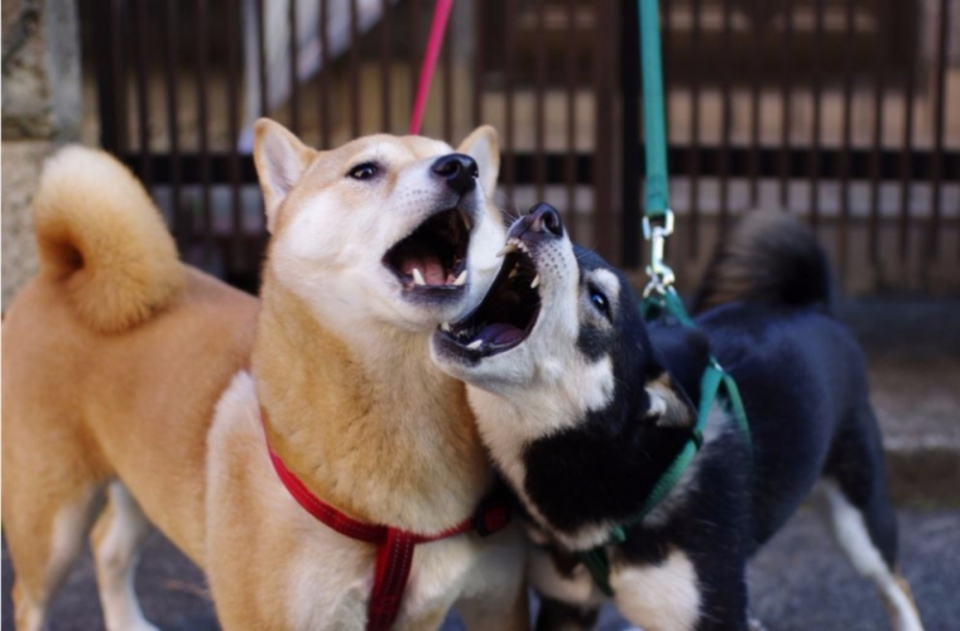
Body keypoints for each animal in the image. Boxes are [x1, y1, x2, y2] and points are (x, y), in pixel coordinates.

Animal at [1, 119, 524, 631]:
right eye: (364, 171)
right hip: (51, 521)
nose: (462, 167)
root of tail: (63, 272)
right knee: (30, 598)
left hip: (142, 479)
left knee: (107, 545)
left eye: (471, 168)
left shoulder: (476, 607)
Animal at [430, 207, 924, 631]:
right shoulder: (565, 604)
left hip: (860, 518)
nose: (545, 215)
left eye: (599, 299)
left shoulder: (711, 613)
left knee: (896, 584)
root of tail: (815, 309)